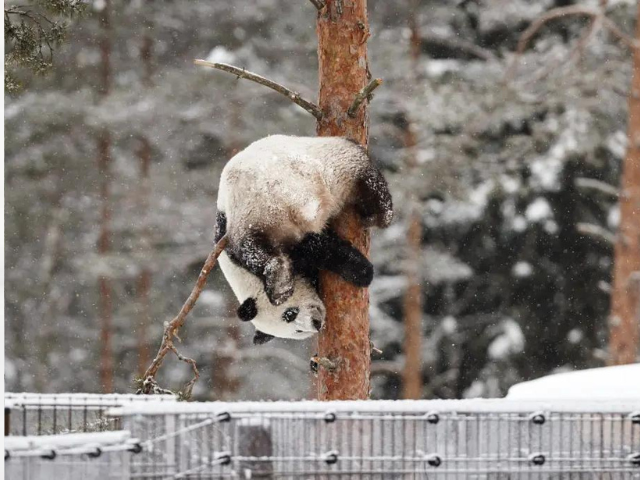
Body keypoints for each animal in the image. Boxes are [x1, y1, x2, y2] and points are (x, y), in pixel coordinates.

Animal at [215, 135, 392, 344]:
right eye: (297, 330)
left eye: (289, 314)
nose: (316, 324)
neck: (244, 280)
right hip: (330, 170)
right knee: (366, 184)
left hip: (250, 212)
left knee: (255, 249)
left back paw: (279, 286)